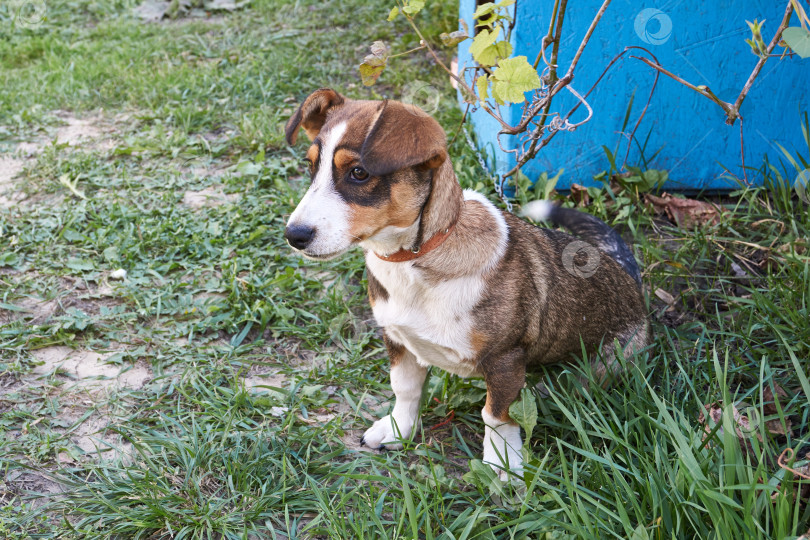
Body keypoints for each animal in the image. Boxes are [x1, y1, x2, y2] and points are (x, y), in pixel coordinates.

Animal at [280, 89, 648, 480]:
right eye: (310, 167)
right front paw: (397, 429)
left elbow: (497, 415)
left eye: (359, 173)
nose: (294, 235)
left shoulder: (505, 360)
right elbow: (405, 388)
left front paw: (502, 464)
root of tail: (630, 278)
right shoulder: (396, 338)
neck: (414, 259)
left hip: (602, 366)